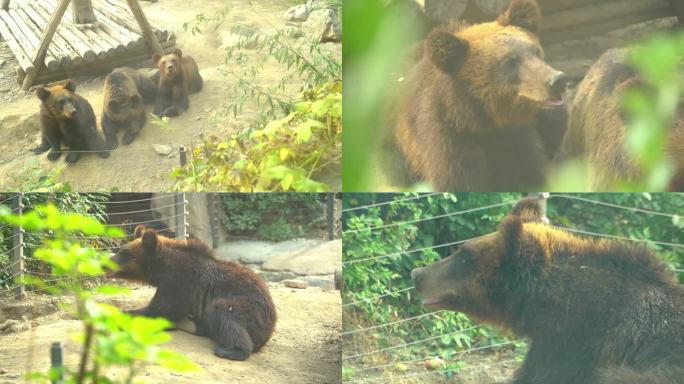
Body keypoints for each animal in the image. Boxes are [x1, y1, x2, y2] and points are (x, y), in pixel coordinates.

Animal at [109, 225, 276, 360]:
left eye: (124, 253)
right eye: (120, 250)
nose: (105, 265)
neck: (162, 269)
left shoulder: (181, 282)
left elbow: (160, 310)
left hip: (250, 308)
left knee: (223, 314)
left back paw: (229, 351)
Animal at [382, 0, 568, 191]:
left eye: (536, 51)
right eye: (509, 61)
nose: (557, 80)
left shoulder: (517, 139)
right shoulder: (448, 139)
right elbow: (458, 180)